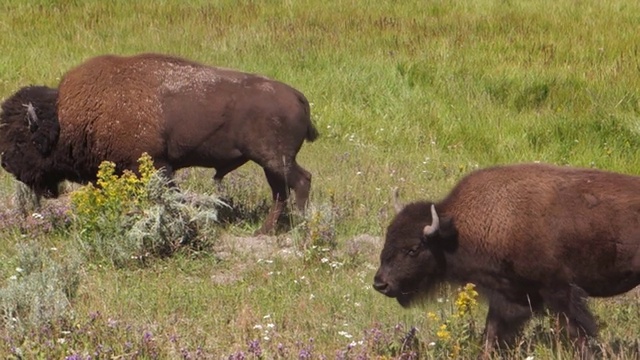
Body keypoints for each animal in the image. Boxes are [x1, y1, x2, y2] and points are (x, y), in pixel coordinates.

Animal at [0, 52, 320, 233]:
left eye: (20, 141)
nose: (7, 165)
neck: (65, 118)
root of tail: (297, 96)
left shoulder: (155, 165)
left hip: (274, 159)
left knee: (301, 181)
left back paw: (302, 229)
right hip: (270, 163)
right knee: (280, 191)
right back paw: (265, 231)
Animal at [376, 165, 640, 356]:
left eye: (413, 249)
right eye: (388, 237)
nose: (380, 283)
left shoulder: (559, 291)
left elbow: (580, 331)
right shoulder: (510, 295)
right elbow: (492, 331)